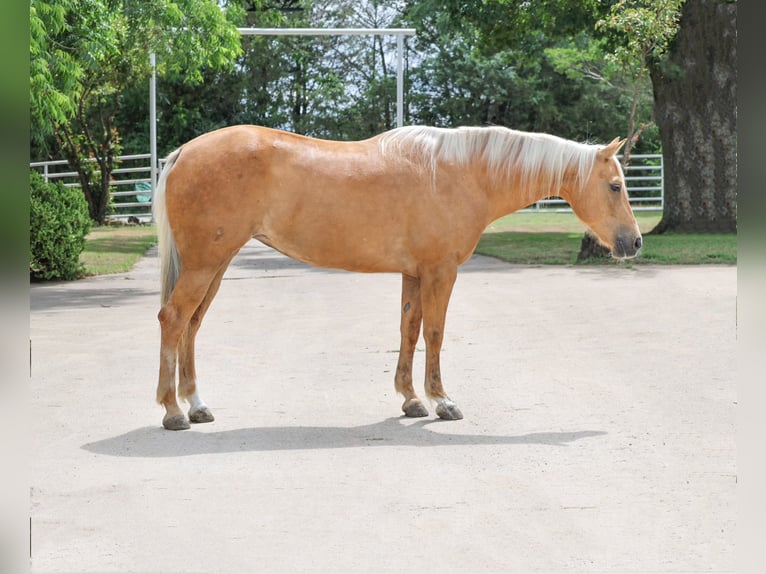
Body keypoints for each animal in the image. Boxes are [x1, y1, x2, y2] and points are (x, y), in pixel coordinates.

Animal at [153, 124, 642, 430]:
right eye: (615, 185)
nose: (634, 243)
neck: (460, 174)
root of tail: (183, 153)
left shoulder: (414, 273)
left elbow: (409, 329)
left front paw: (410, 400)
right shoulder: (441, 271)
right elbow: (435, 332)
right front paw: (442, 401)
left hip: (215, 266)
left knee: (192, 325)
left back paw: (197, 405)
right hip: (204, 264)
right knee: (173, 320)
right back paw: (173, 411)